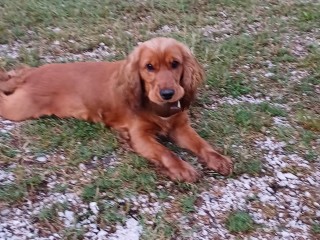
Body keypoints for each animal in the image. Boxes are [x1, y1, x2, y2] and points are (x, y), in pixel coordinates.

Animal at [0, 36, 231, 181]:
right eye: (149, 67)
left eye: (175, 64)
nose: (168, 93)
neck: (159, 107)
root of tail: (32, 75)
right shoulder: (140, 136)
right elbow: (166, 153)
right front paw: (182, 169)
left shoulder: (180, 127)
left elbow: (201, 144)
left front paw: (218, 159)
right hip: (18, 107)